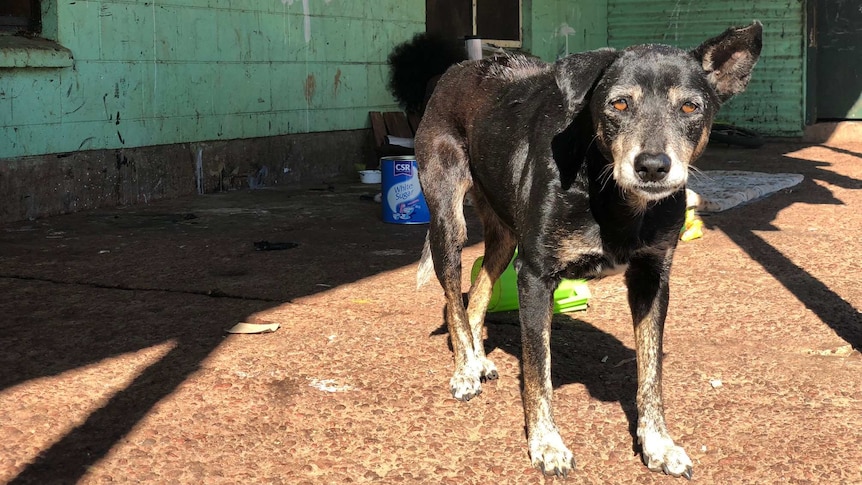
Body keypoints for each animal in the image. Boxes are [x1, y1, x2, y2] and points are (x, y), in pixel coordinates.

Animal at [408, 22, 768, 476]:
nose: (653, 166)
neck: (613, 195)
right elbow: (538, 371)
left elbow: (651, 371)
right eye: (619, 103)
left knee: (482, 287)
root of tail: (458, 69)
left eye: (690, 107)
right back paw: (465, 369)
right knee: (455, 297)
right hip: (448, 221)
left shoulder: (652, 279)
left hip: (505, 237)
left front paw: (658, 443)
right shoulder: (535, 276)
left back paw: (477, 357)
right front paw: (546, 444)